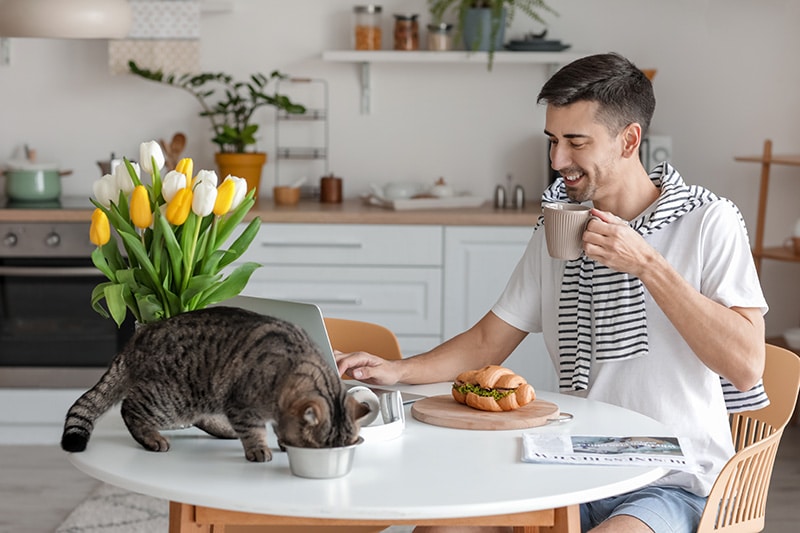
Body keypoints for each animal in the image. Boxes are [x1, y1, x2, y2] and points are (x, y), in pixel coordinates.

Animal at [61, 308, 370, 462]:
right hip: (173, 399)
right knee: (129, 408)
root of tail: (137, 338)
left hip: (198, 396)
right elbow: (254, 430)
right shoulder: (241, 403)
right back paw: (152, 438)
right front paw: (260, 449)